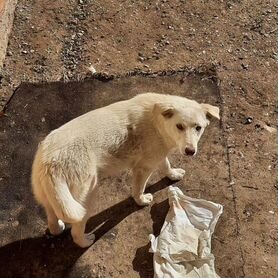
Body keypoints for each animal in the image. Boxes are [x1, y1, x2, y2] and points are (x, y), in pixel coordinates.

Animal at [31, 92, 220, 247]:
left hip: (52, 199)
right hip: (85, 200)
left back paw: (58, 228)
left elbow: (166, 165)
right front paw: (141, 200)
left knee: (52, 219)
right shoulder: (143, 168)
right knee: (76, 231)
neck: (158, 121)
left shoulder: (157, 156)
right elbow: (138, 189)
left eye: (198, 128)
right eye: (179, 126)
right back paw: (85, 241)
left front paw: (173, 175)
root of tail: (51, 163)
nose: (190, 151)